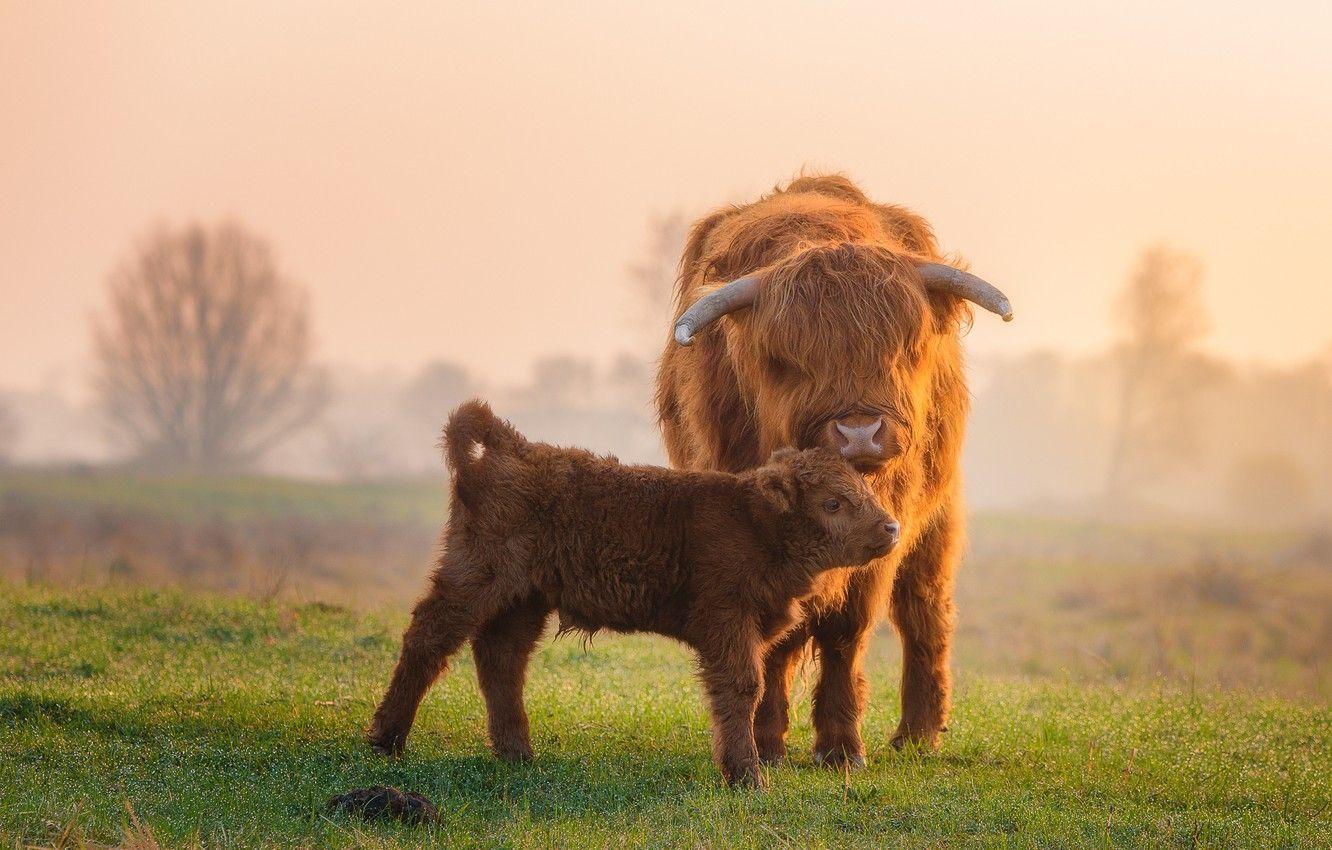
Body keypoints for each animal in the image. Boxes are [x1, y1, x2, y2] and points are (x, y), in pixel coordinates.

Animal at [655, 174, 1012, 767]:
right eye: (788, 361)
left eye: (905, 349)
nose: (860, 432)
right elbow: (773, 642)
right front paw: (766, 741)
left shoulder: (883, 534)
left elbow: (847, 632)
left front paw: (842, 747)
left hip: (936, 523)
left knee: (924, 613)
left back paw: (919, 734)